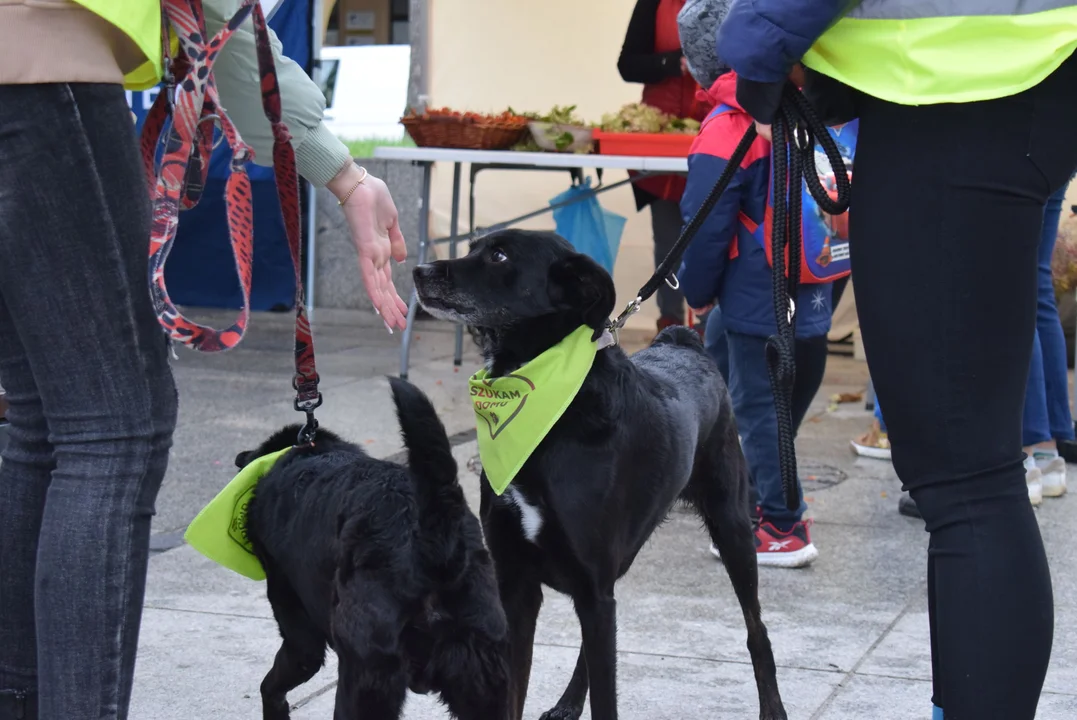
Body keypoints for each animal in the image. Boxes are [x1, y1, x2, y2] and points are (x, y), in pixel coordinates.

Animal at [411, 230, 784, 718]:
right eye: (474, 246)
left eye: (499, 255)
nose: (418, 271)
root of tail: (684, 340)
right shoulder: (519, 586)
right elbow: (516, 692)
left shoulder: (591, 587)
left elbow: (607, 696)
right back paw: (569, 702)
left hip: (733, 527)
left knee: (756, 628)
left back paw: (773, 707)